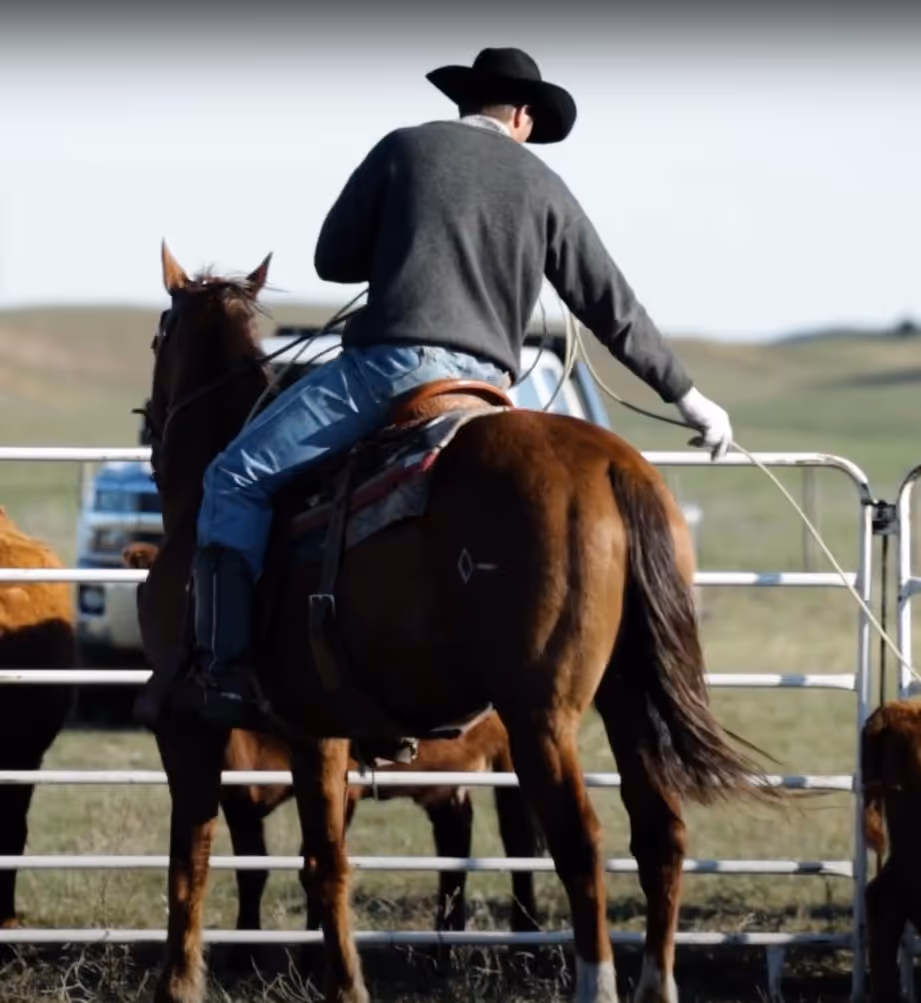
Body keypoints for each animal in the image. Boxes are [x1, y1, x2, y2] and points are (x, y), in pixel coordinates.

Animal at [122, 543, 542, 943]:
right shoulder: (234, 791)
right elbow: (251, 871)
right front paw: (246, 949)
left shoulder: (340, 784)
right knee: (455, 840)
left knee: (518, 837)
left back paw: (526, 933)